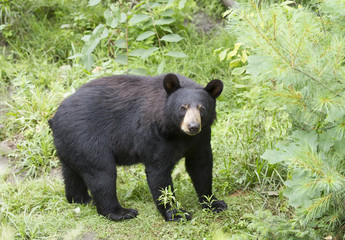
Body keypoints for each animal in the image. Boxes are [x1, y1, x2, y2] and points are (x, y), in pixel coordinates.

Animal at [47, 73, 226, 221]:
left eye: (202, 109)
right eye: (183, 107)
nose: (193, 126)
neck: (178, 133)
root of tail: (54, 118)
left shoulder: (201, 138)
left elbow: (201, 166)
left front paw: (214, 203)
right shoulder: (154, 135)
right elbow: (158, 172)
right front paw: (176, 213)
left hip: (70, 144)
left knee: (72, 173)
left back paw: (81, 199)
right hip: (86, 139)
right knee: (102, 174)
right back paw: (120, 212)